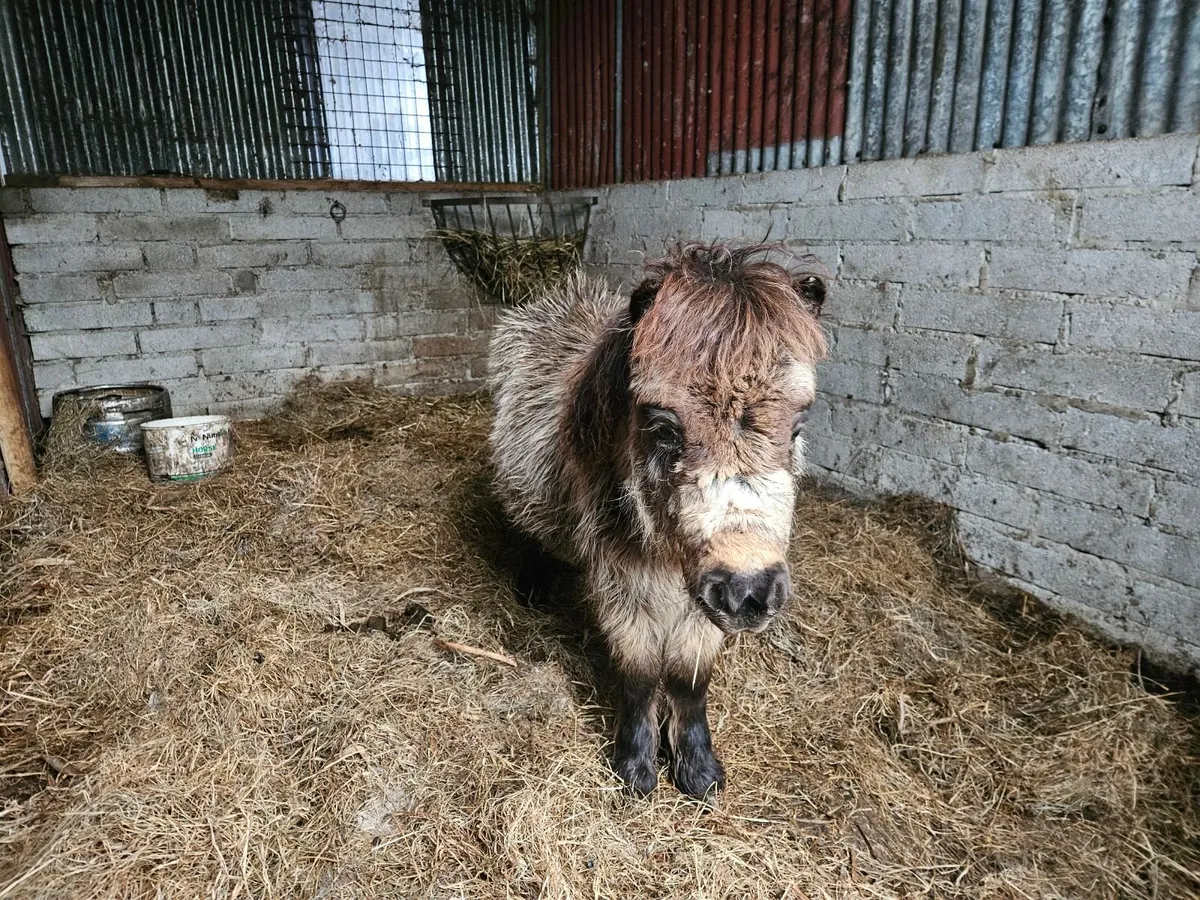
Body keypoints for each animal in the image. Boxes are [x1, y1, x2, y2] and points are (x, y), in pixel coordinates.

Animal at [488, 243, 827, 798]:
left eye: (797, 426)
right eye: (665, 428)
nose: (750, 591)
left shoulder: (701, 601)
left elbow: (689, 681)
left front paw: (698, 769)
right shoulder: (623, 582)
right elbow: (641, 673)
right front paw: (636, 766)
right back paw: (534, 589)